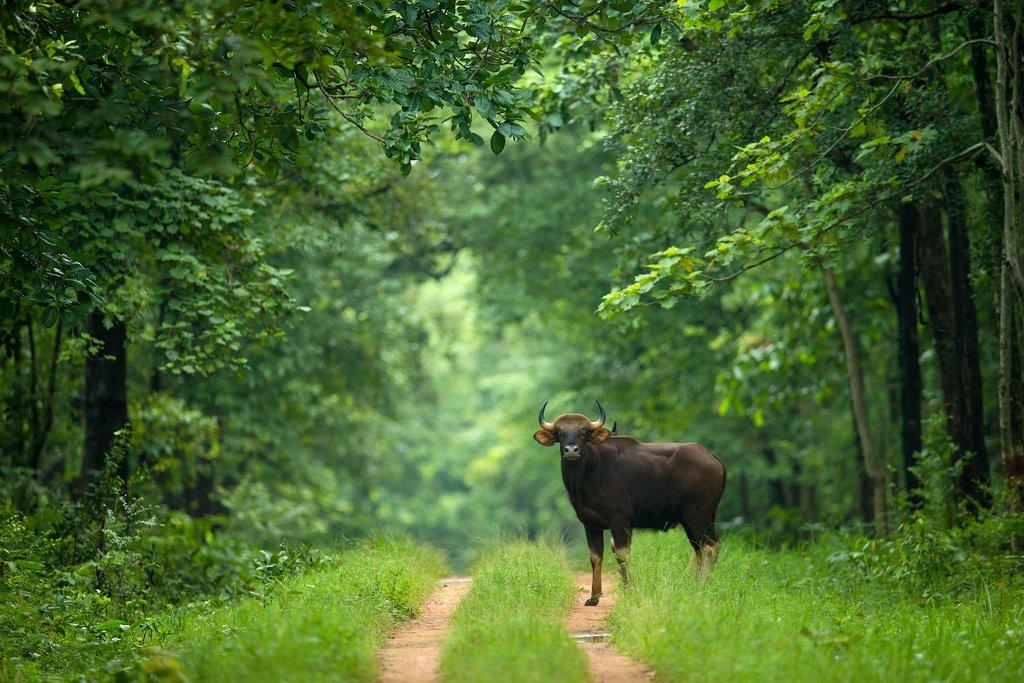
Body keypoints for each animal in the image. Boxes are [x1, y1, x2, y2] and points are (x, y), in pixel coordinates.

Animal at [533, 400, 726, 606]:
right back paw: (696, 585)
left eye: (583, 432)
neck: (588, 475)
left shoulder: (620, 521)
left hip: (699, 515)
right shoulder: (590, 523)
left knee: (710, 546)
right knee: (699, 549)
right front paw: (594, 596)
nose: (571, 450)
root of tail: (712, 457)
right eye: (560, 432)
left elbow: (622, 554)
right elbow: (595, 557)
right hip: (689, 520)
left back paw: (702, 586)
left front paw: (628, 591)